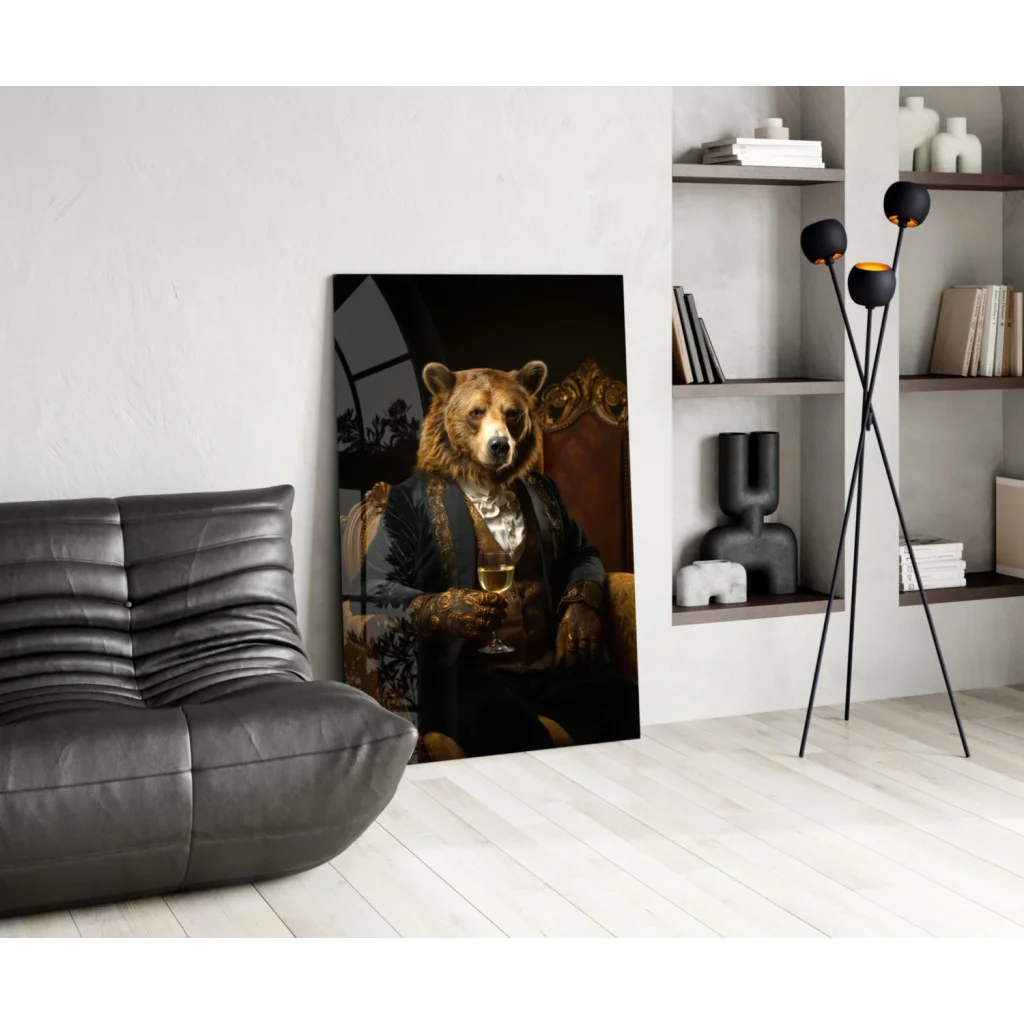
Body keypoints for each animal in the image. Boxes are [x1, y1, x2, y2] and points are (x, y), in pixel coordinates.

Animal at [363, 360, 639, 759]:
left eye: (512, 413)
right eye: (475, 412)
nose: (499, 445)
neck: (489, 485)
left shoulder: (554, 501)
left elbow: (582, 552)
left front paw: (578, 624)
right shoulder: (400, 515)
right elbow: (379, 582)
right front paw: (463, 610)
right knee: (503, 721)